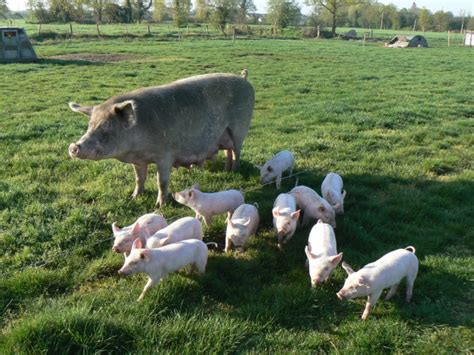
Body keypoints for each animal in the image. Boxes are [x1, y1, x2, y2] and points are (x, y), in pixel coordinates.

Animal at [68, 71, 254, 207]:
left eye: (106, 126)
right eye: (90, 124)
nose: (73, 147)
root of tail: (243, 79)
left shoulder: (165, 155)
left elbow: (161, 181)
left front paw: (159, 206)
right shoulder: (138, 161)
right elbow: (139, 178)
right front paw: (134, 197)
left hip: (240, 128)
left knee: (237, 152)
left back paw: (234, 171)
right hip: (226, 135)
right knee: (228, 151)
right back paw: (226, 170)